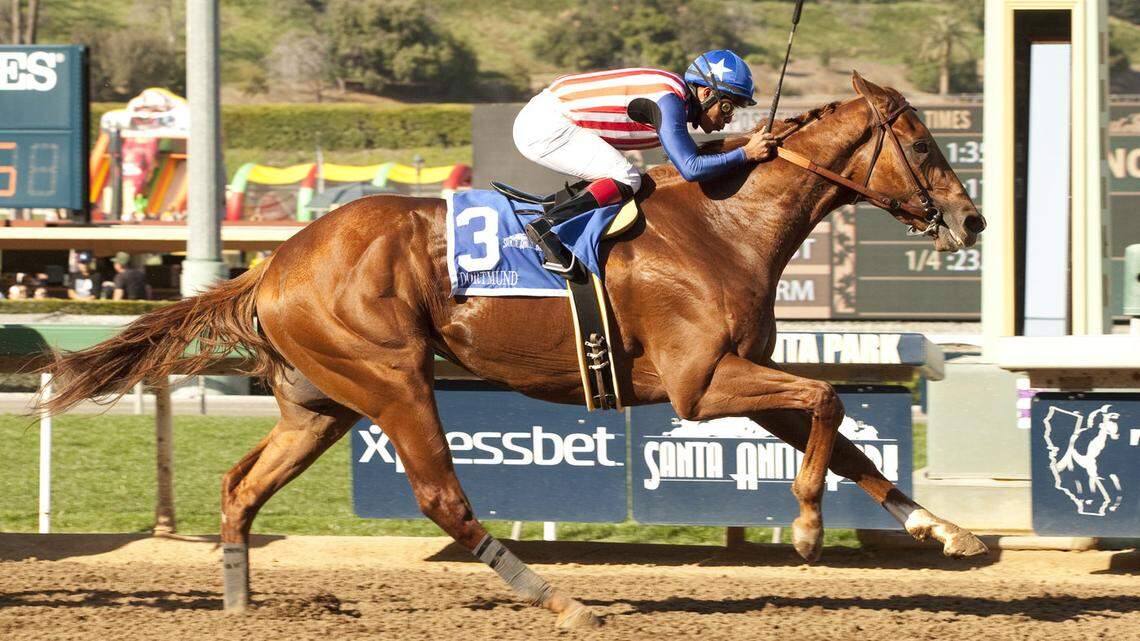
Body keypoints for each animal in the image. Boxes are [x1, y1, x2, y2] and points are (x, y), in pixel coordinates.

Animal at [38, 73, 989, 629]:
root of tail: (275, 261)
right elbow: (829, 401)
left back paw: (238, 597)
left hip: (321, 401)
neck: (726, 223)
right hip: (392, 378)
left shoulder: (739, 377)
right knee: (441, 498)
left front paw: (947, 530)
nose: (973, 219)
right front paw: (805, 528)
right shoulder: (699, 384)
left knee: (242, 486)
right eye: (922, 143)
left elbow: (850, 439)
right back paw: (557, 596)